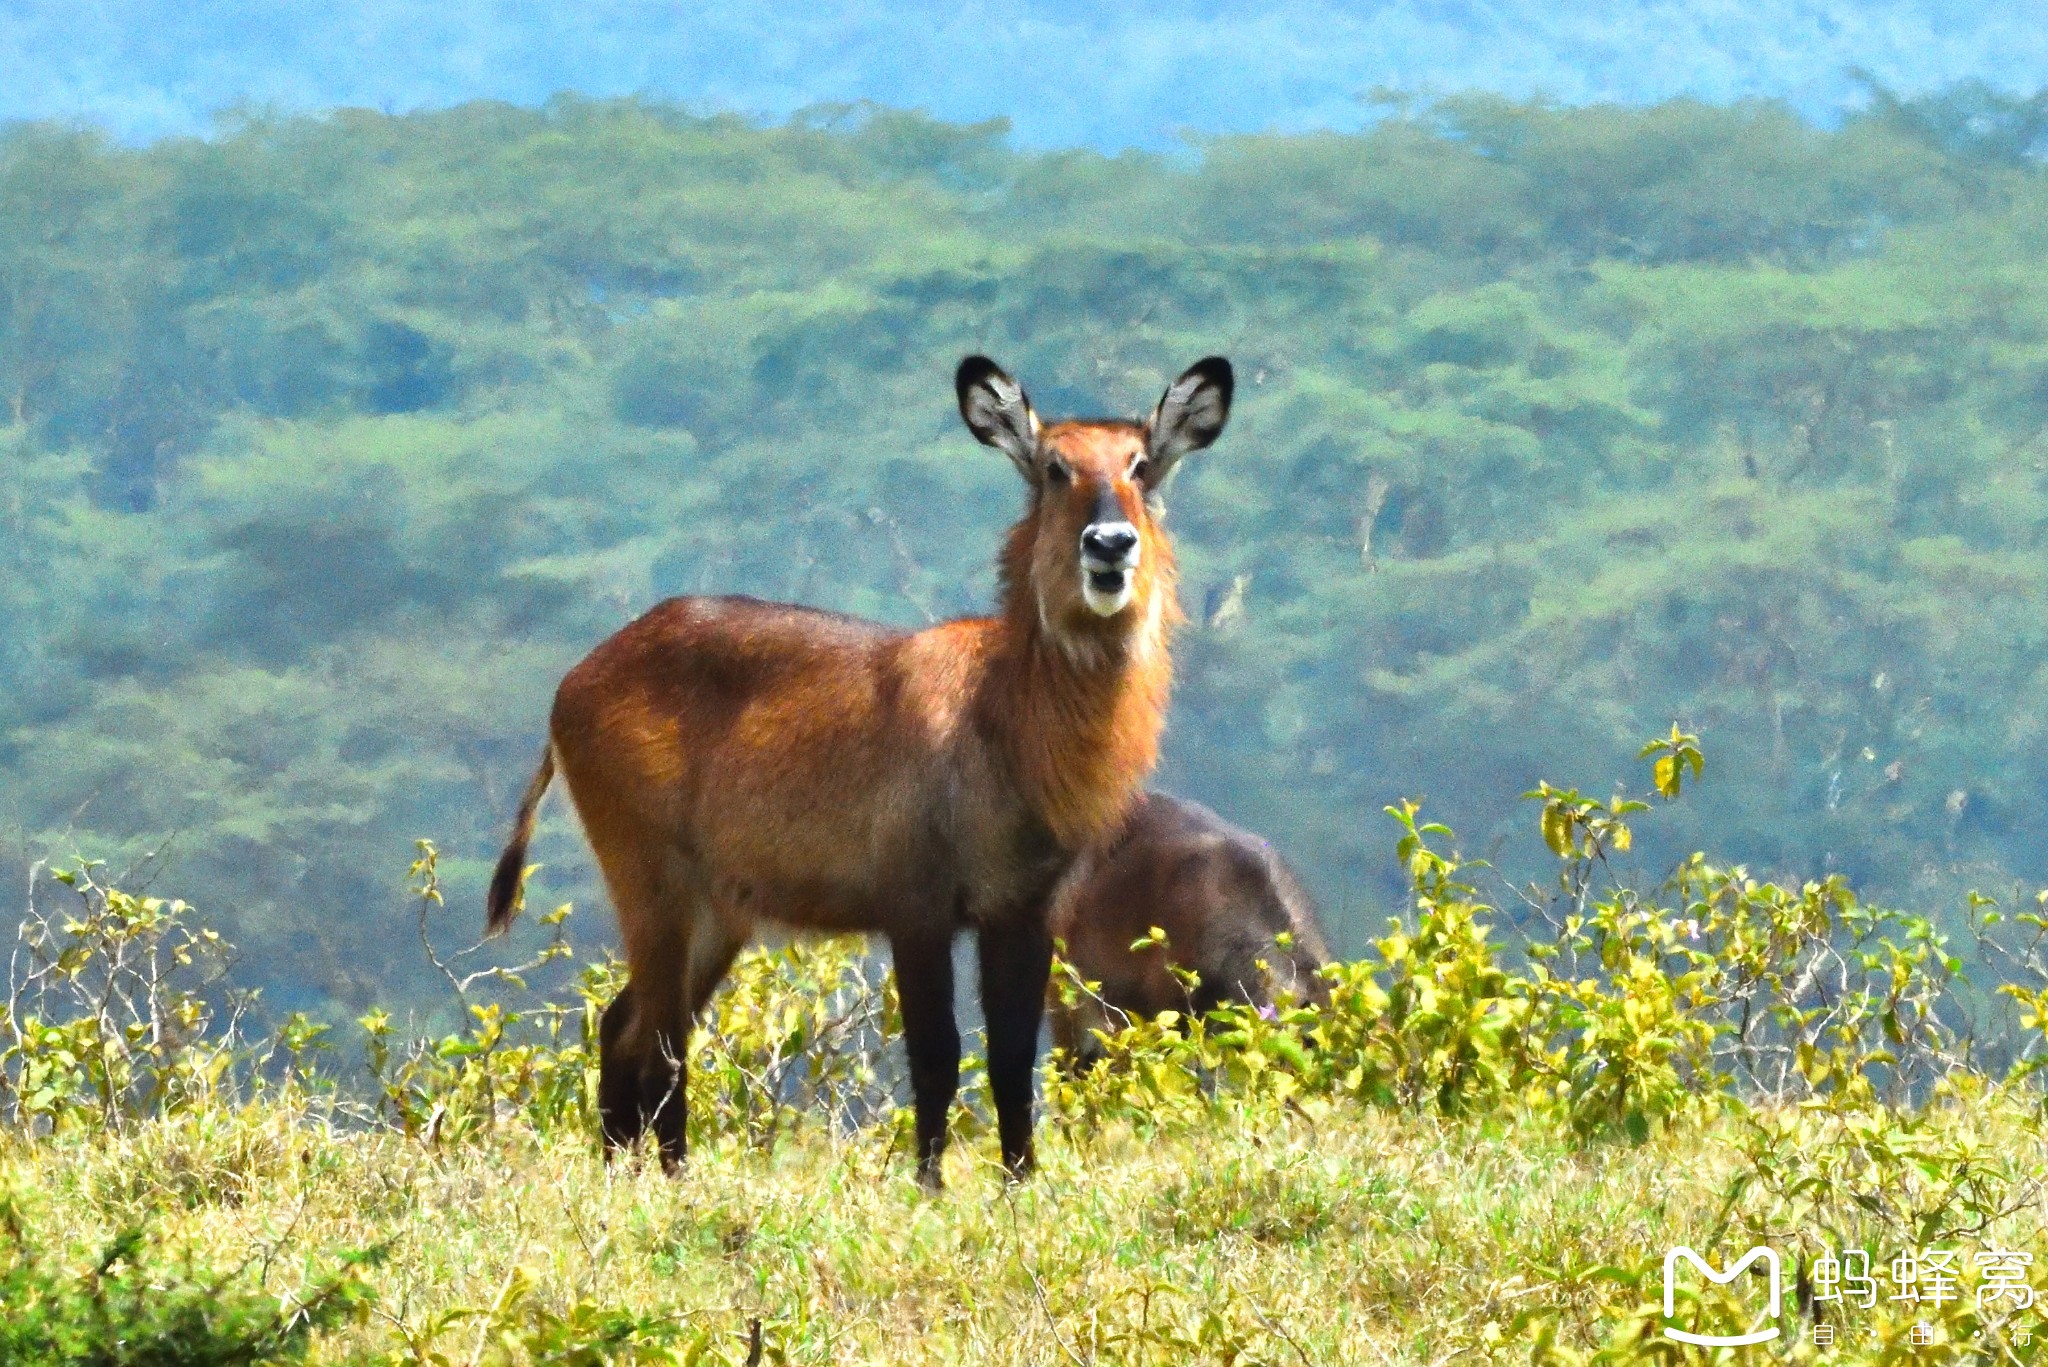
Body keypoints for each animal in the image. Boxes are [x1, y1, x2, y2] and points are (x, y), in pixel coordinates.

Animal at [491, 356, 1228, 1188]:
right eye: (1053, 466)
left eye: (1141, 465)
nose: (1109, 543)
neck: (1006, 719)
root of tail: (572, 683)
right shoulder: (916, 902)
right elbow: (938, 1054)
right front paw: (931, 1186)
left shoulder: (1026, 908)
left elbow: (1012, 1059)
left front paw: (1020, 1182)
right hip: (654, 883)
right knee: (661, 1043)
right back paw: (674, 1180)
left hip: (719, 909)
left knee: (627, 1026)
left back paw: (630, 1173)